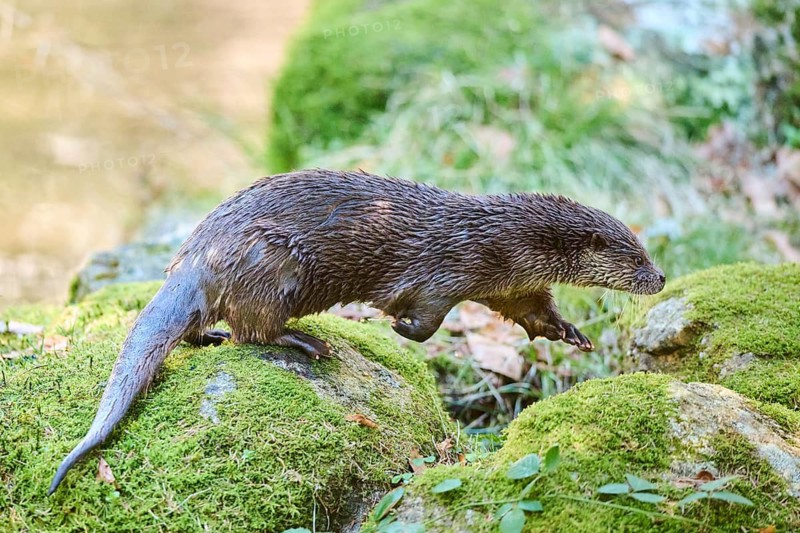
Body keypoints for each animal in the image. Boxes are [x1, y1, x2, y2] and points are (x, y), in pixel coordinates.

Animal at [48, 169, 665, 494]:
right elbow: (424, 318)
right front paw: (396, 325)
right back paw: (307, 341)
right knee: (254, 330)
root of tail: (198, 254)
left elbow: (536, 314)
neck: (500, 244)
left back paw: (215, 340)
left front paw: (573, 333)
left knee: (212, 327)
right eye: (636, 256)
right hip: (274, 263)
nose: (658, 277)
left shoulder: (511, 286)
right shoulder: (448, 272)